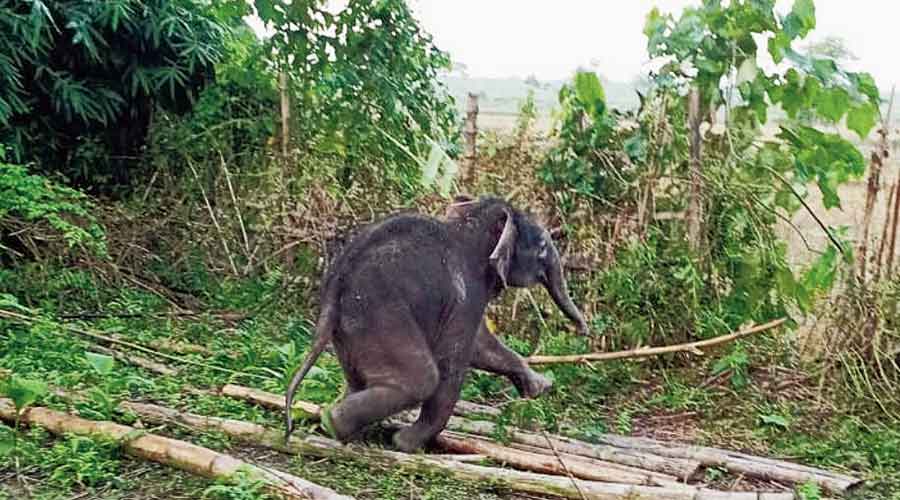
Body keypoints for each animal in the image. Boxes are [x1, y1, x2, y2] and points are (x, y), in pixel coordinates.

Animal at [284, 193, 592, 452]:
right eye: (542, 246)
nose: (584, 331)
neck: (472, 221)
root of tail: (333, 288)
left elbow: (482, 347)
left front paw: (540, 386)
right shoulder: (466, 295)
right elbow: (454, 362)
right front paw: (406, 444)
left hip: (352, 330)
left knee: (363, 379)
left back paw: (339, 423)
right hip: (380, 316)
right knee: (421, 379)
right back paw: (333, 423)